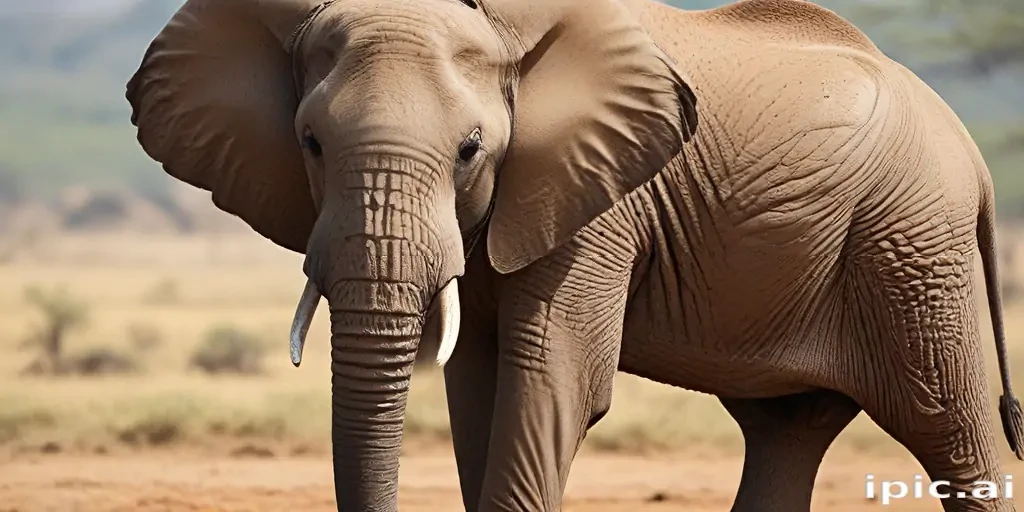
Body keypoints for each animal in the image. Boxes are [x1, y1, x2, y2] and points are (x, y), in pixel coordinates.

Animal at [126, 0, 1024, 510]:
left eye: (471, 150)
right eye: (310, 143)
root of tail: (973, 154)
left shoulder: (601, 198)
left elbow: (549, 380)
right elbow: (477, 391)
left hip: (913, 246)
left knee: (956, 434)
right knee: (787, 432)